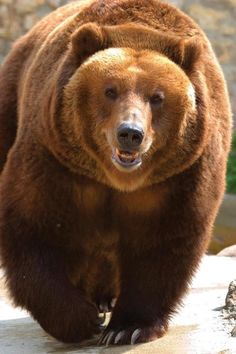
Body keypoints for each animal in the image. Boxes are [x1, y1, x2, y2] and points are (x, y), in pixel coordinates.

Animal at [0, 0, 232, 346]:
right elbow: (34, 227)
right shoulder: (56, 159)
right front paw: (81, 320)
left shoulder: (178, 176)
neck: (116, 178)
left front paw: (128, 327)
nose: (130, 133)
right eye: (110, 90)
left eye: (157, 97)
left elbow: (163, 241)